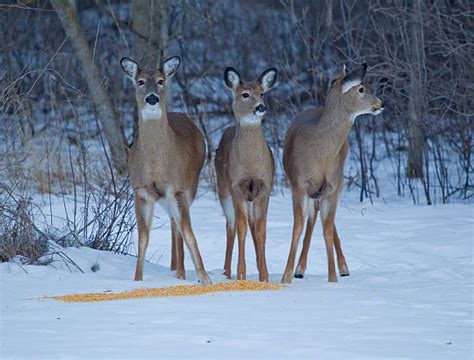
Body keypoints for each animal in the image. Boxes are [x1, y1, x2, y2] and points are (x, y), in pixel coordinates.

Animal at [121, 56, 212, 286]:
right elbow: (143, 238)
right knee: (173, 224)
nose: (152, 98)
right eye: (140, 81)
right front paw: (137, 279)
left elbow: (188, 232)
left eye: (161, 81)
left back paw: (181, 272)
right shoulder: (141, 191)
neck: (156, 166)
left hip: (191, 186)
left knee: (178, 227)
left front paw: (204, 277)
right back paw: (175, 269)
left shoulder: (177, 188)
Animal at [215, 66, 278, 282]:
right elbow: (241, 229)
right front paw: (241, 274)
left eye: (263, 93)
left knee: (251, 225)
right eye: (245, 94)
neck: (251, 166)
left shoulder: (264, 188)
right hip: (223, 190)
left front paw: (264, 276)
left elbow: (261, 231)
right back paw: (226, 271)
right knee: (231, 226)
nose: (261, 107)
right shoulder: (237, 187)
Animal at [282, 64, 386, 284]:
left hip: (336, 182)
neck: (320, 153)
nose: (381, 103)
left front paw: (332, 278)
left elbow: (327, 230)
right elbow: (298, 226)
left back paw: (341, 268)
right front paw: (286, 276)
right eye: (361, 88)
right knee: (313, 217)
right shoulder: (299, 184)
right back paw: (299, 269)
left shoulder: (331, 185)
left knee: (323, 220)